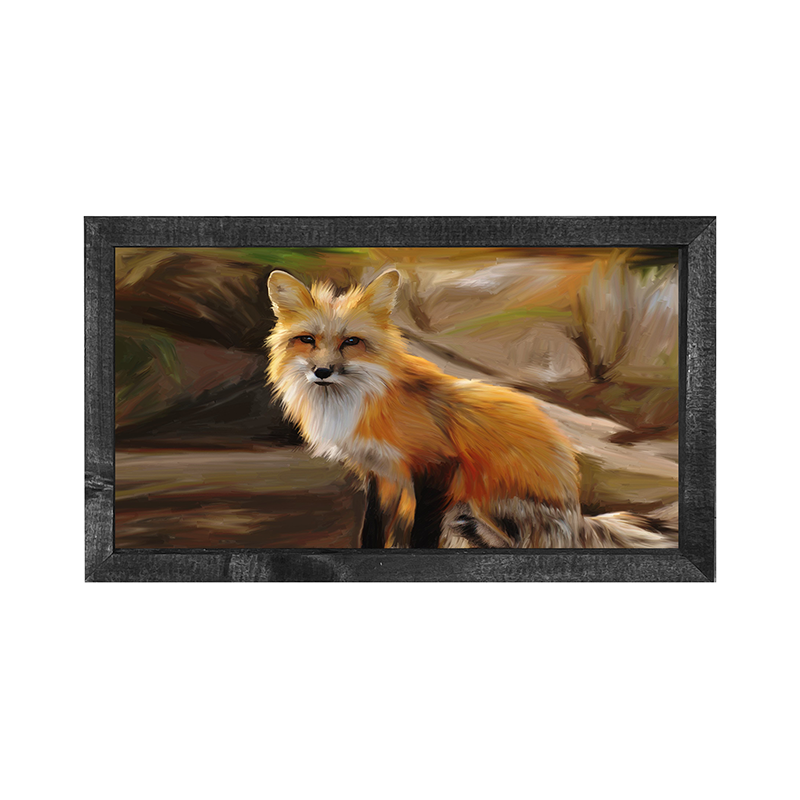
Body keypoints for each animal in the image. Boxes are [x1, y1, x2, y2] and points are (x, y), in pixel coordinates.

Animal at [265, 268, 677, 549]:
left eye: (351, 342)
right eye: (307, 340)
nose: (322, 372)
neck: (360, 401)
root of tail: (577, 518)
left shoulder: (438, 467)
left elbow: (419, 533)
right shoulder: (379, 474)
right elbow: (373, 529)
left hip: (476, 504)